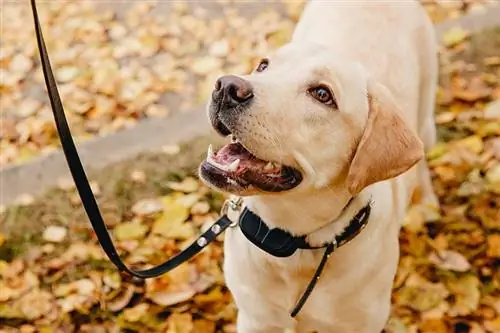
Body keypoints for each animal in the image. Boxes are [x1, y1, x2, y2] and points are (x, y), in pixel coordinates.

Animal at [199, 1, 438, 330]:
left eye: (322, 94)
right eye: (263, 66)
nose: (226, 87)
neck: (292, 243)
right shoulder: (255, 319)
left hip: (425, 117)